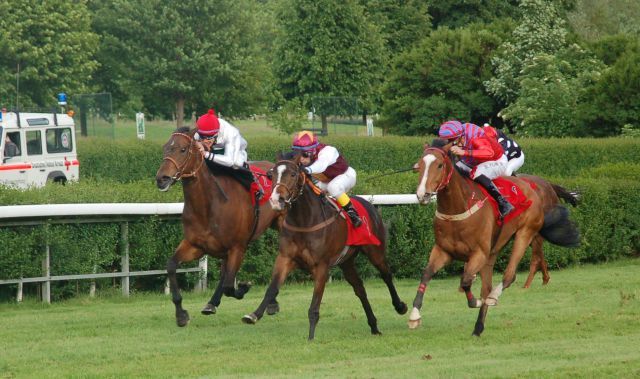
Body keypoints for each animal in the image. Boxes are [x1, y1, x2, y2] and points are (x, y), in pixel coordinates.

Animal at [156, 129, 282, 328]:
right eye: (165, 147)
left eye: (183, 149)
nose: (162, 179)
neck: (209, 205)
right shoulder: (196, 245)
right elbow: (171, 266)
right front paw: (181, 314)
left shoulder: (238, 247)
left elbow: (230, 285)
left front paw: (244, 287)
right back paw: (212, 303)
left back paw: (271, 303)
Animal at [242, 154, 408, 342]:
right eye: (271, 175)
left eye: (293, 174)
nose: (277, 200)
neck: (304, 221)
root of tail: (369, 204)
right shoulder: (285, 258)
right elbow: (272, 289)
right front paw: (254, 315)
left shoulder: (321, 266)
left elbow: (314, 305)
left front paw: (311, 337)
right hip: (346, 262)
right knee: (360, 289)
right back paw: (374, 326)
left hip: (375, 252)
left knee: (386, 275)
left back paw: (400, 306)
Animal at [410, 141, 580, 336]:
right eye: (419, 165)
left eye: (439, 165)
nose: (422, 194)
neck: (459, 207)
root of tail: (535, 186)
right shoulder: (443, 251)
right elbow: (426, 274)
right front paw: (414, 316)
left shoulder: (479, 253)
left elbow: (466, 280)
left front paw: (475, 301)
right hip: (494, 251)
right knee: (488, 286)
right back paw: (478, 328)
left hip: (525, 233)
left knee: (509, 276)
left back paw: (494, 297)